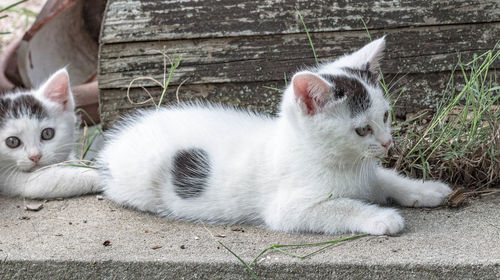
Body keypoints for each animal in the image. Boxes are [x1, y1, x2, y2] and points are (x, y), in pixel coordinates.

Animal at [97, 37, 454, 234]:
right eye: (362, 129)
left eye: (385, 116)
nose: (387, 143)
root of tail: (112, 149)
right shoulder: (288, 208)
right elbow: (340, 208)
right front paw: (382, 218)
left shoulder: (367, 172)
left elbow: (385, 179)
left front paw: (426, 190)